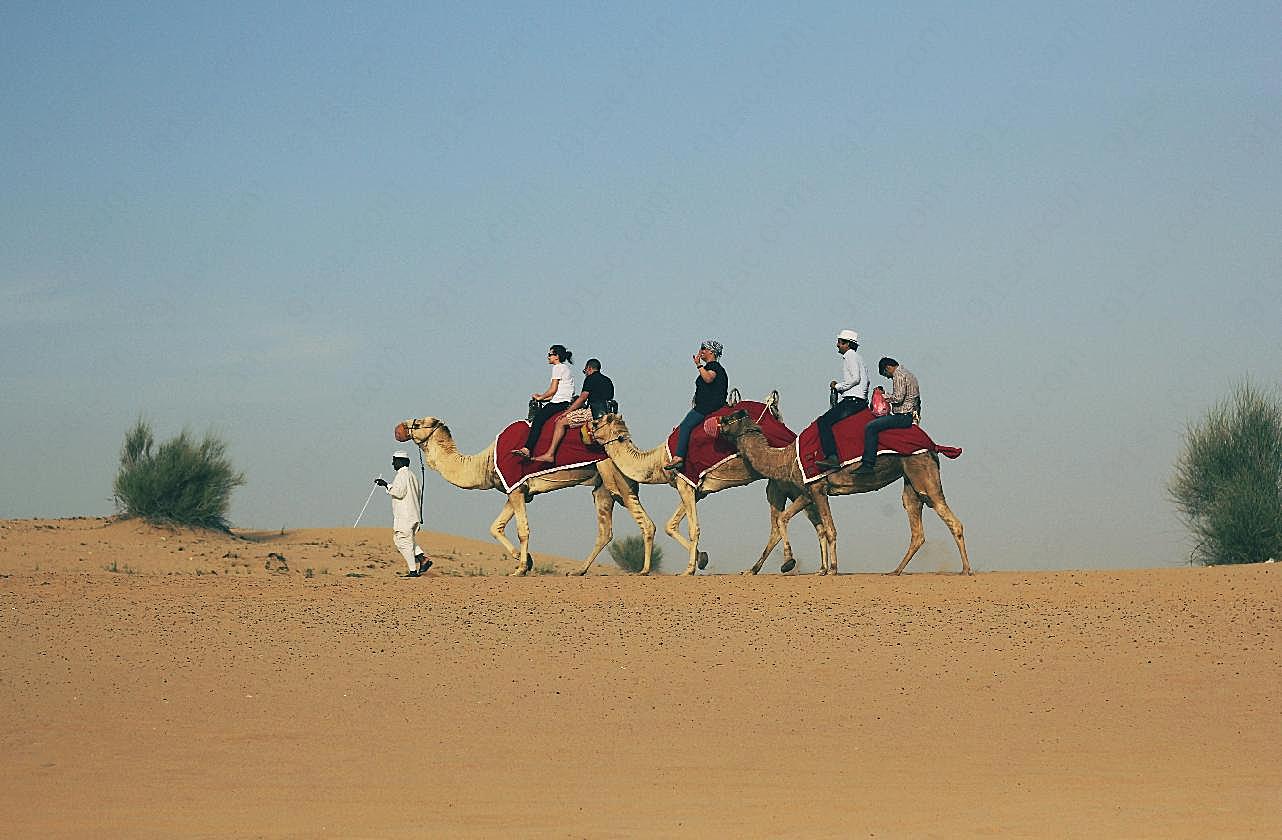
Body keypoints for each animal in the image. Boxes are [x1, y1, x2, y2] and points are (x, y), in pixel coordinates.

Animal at [394, 418, 656, 574]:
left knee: (645, 523)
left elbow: (522, 530)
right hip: (601, 487)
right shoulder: (516, 491)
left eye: (417, 423)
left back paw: (644, 570)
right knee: (605, 531)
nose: (398, 428)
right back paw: (579, 570)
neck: (485, 462)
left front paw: (520, 568)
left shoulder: (516, 489)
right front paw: (527, 561)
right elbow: (495, 527)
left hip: (615, 476)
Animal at [587, 407, 825, 579]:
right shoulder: (695, 490)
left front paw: (689, 569)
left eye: (600, 421)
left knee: (802, 517)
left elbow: (694, 529)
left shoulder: (686, 484)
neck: (658, 462)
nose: (588, 427)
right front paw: (701, 559)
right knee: (796, 521)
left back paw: (799, 564)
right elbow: (671, 525)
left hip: (786, 481)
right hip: (777, 484)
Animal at [712, 410, 969, 579]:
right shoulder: (808, 491)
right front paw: (813, 567)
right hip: (910, 478)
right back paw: (895, 571)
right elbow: (797, 522)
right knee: (916, 523)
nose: (715, 424)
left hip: (921, 468)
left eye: (727, 418)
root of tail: (933, 445)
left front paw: (826, 568)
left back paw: (966, 569)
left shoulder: (817, 488)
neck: (785, 458)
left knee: (949, 516)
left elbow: (827, 528)